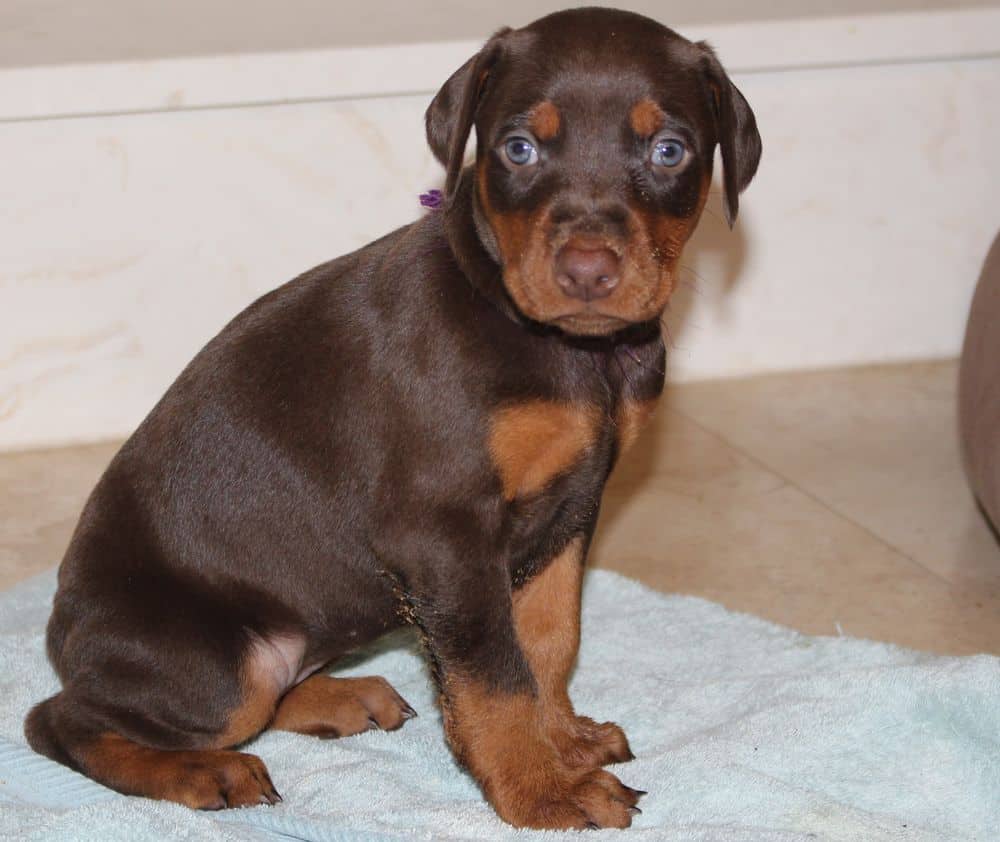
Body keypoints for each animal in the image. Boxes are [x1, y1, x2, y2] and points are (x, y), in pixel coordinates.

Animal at [23, 6, 760, 832]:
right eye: (519, 147)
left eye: (669, 150)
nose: (587, 272)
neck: (564, 348)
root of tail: (63, 630)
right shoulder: (442, 531)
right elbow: (496, 674)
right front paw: (540, 789)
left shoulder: (571, 507)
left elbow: (547, 637)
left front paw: (564, 741)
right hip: (221, 667)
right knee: (63, 721)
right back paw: (204, 770)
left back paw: (341, 697)